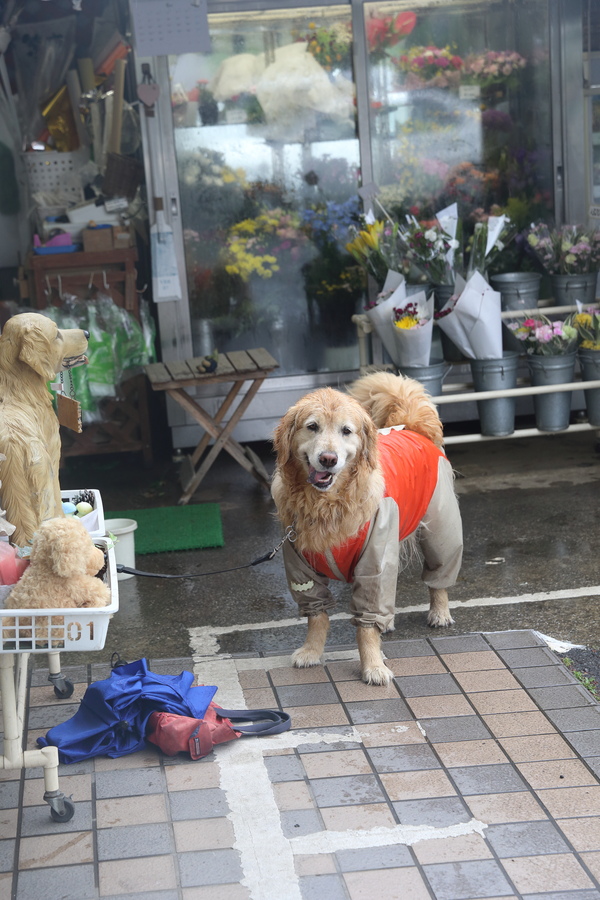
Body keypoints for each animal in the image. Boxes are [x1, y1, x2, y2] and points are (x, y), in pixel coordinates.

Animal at [0, 310, 89, 548]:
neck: (18, 387)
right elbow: (58, 497)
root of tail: (10, 443)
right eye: (57, 334)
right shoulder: (53, 454)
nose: (87, 332)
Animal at [272, 370, 464, 684]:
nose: (328, 459)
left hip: (439, 528)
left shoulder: (375, 557)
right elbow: (317, 615)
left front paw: (373, 666)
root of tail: (411, 426)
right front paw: (311, 651)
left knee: (439, 574)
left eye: (346, 431)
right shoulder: (299, 562)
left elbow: (367, 623)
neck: (326, 503)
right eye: (312, 426)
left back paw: (439, 612)